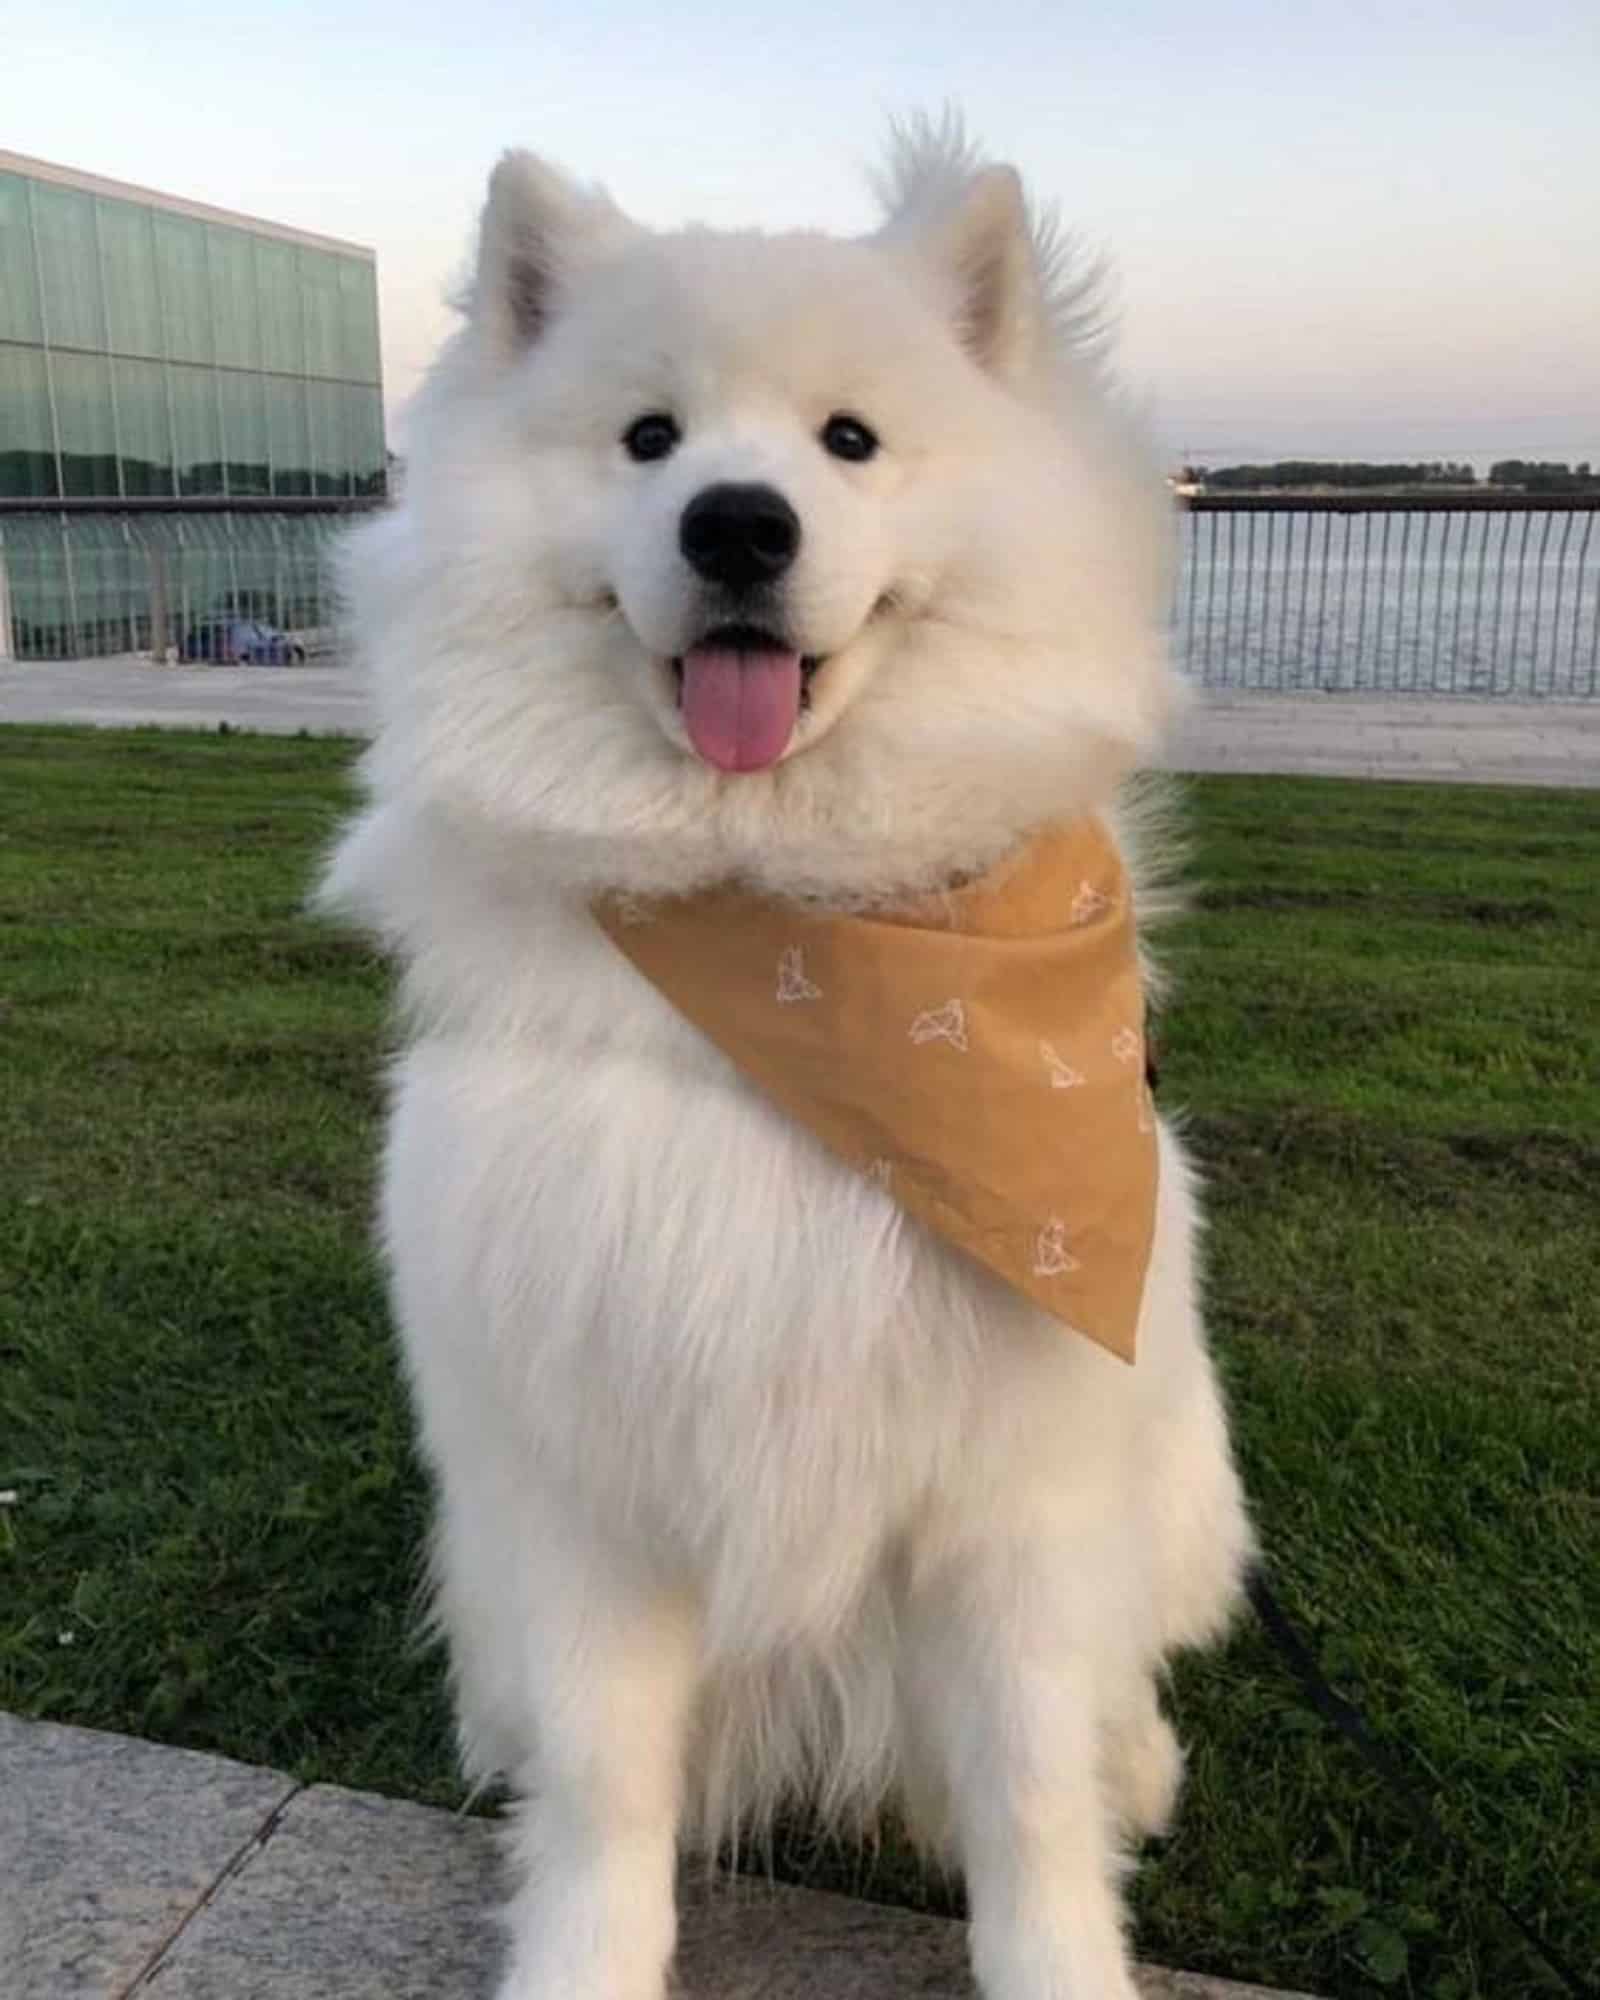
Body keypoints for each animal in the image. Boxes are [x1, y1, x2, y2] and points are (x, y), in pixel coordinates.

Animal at [322, 121, 1248, 2000]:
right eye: (648, 437)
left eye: (849, 441)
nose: (738, 522)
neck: (797, 949)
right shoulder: (586, 1482)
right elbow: (607, 1791)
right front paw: (579, 1963)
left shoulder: (1012, 1509)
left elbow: (1030, 1798)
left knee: (1125, 1681)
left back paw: (1140, 1759)